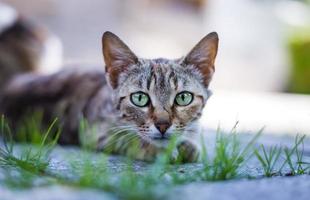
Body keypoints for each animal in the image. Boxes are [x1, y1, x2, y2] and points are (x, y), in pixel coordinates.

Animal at [0, 31, 218, 162]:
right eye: (140, 98)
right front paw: (160, 150)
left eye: (183, 98)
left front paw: (188, 145)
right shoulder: (95, 132)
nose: (163, 125)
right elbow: (129, 139)